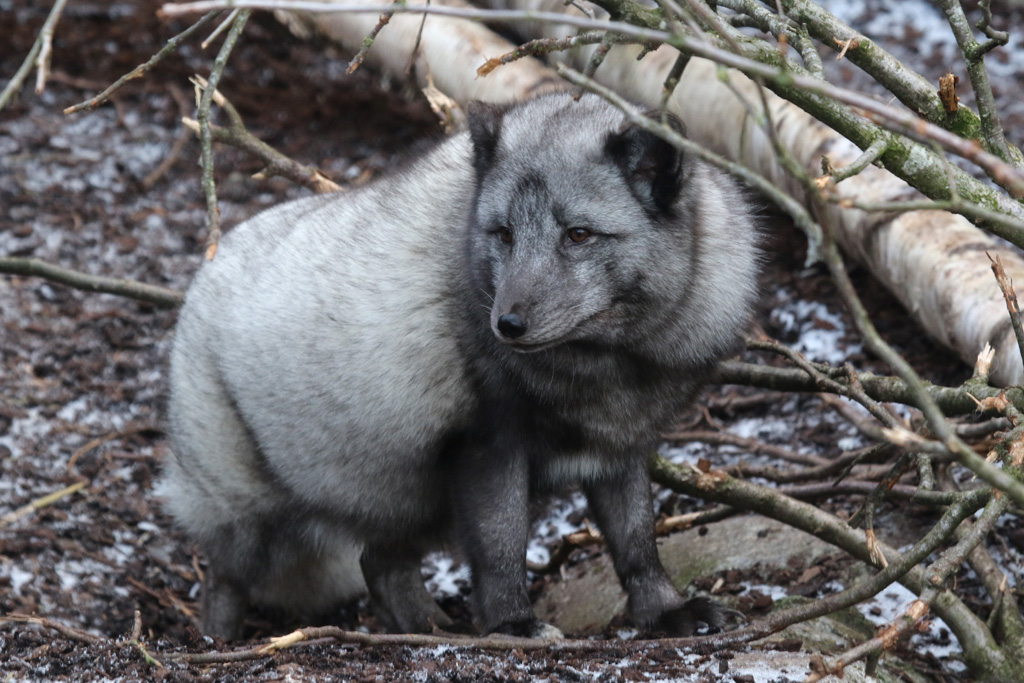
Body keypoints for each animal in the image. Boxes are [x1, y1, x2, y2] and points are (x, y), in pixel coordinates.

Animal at [162, 91, 760, 640]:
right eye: (503, 233)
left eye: (578, 234)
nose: (508, 324)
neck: (606, 366)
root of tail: (206, 268)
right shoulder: (487, 447)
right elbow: (501, 547)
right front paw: (513, 626)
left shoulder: (619, 445)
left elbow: (637, 541)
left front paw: (668, 613)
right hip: (256, 519)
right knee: (222, 581)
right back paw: (216, 643)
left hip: (411, 499)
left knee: (379, 567)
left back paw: (428, 630)